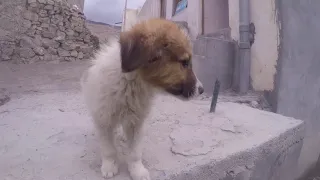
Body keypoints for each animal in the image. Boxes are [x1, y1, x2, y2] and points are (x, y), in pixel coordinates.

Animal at [81, 18, 204, 180]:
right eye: (184, 62)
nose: (202, 90)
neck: (130, 83)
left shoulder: (136, 122)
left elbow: (134, 152)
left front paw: (137, 170)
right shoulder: (104, 118)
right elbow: (108, 149)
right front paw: (109, 166)